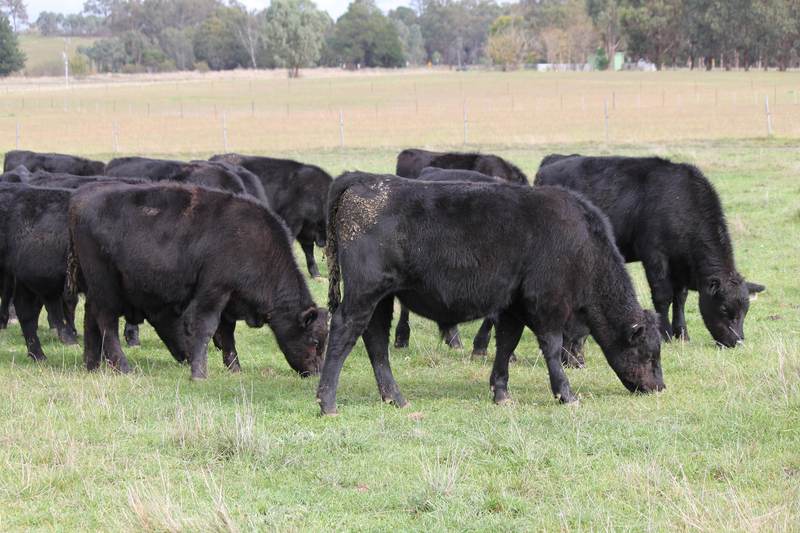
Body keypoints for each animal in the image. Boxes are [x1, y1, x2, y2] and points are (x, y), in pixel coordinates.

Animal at [68, 182, 329, 378]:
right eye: (315, 341)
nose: (316, 372)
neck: (254, 242)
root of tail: (80, 198)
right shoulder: (213, 292)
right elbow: (206, 328)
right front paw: (199, 374)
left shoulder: (230, 301)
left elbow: (227, 334)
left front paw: (235, 369)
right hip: (106, 288)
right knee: (107, 322)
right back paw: (123, 367)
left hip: (95, 289)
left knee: (90, 318)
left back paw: (91, 365)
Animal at [316, 172, 665, 415]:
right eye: (648, 353)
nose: (659, 387)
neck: (582, 243)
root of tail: (364, 179)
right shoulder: (548, 304)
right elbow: (552, 349)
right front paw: (566, 394)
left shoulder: (512, 306)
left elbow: (506, 344)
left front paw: (501, 393)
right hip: (364, 293)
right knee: (344, 331)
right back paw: (327, 401)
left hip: (382, 298)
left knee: (376, 340)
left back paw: (395, 398)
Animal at [535, 155, 765, 348]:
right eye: (724, 308)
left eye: (746, 309)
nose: (737, 342)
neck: (680, 201)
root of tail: (552, 161)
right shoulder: (655, 256)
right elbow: (663, 296)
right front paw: (665, 334)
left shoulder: (680, 263)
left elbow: (680, 298)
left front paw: (682, 333)